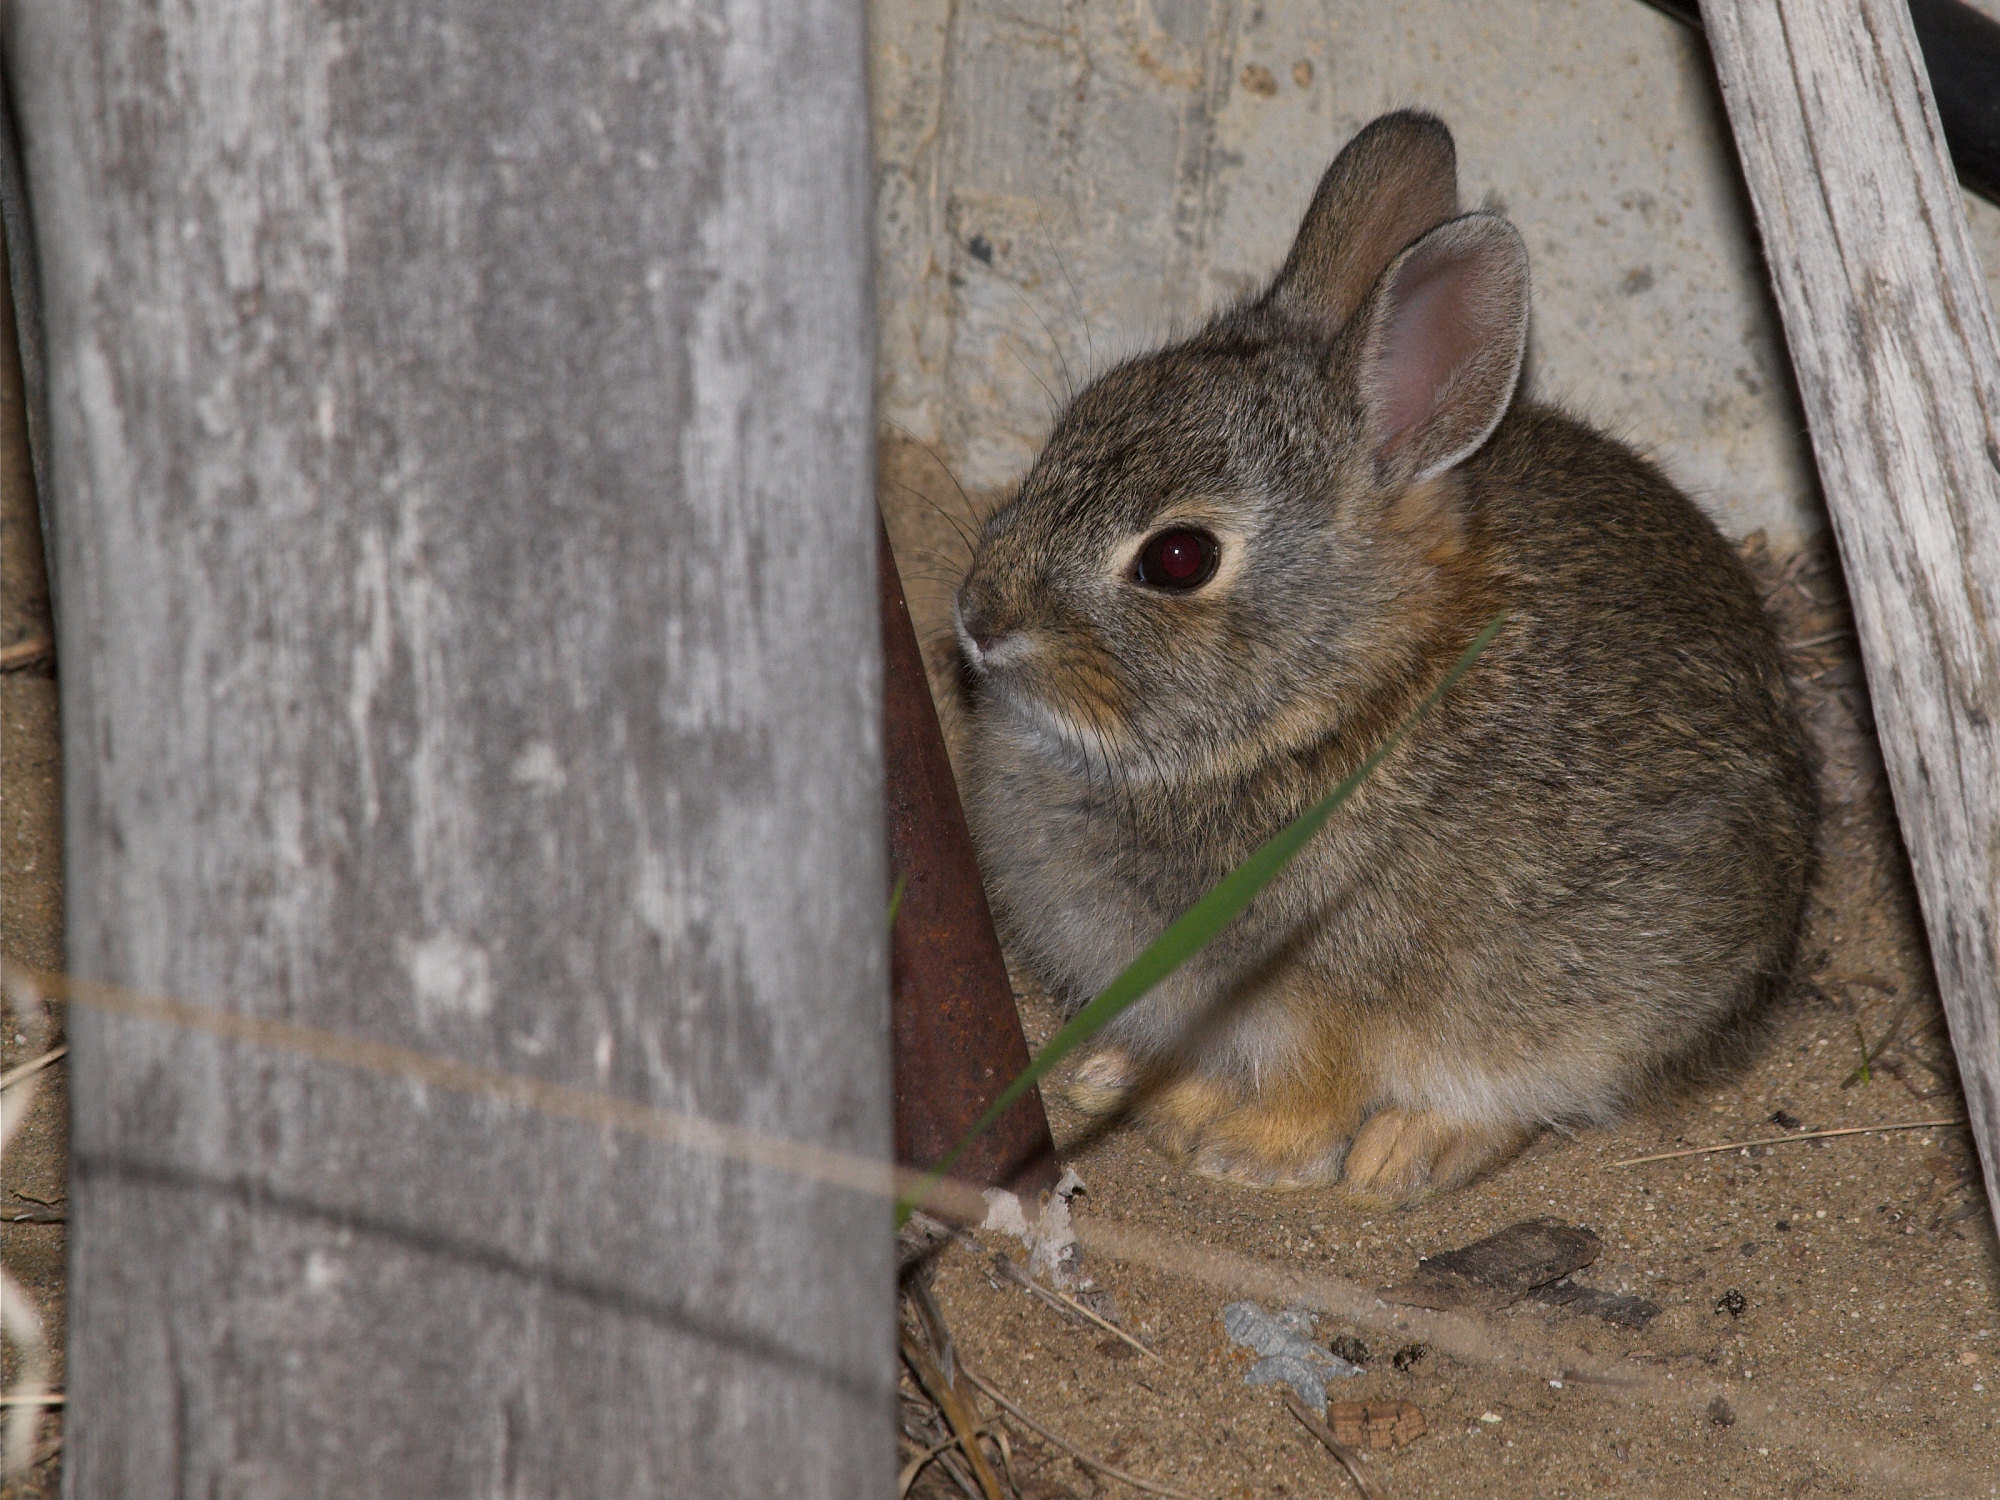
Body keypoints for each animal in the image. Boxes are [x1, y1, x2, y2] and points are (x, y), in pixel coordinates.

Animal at [952, 111, 1816, 1208]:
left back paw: (1402, 1156)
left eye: (1178, 559)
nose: (978, 618)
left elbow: (1318, 1089)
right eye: (1076, 420)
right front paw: (1115, 1076)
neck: (1331, 700)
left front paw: (1245, 1152)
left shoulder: (1320, 999)